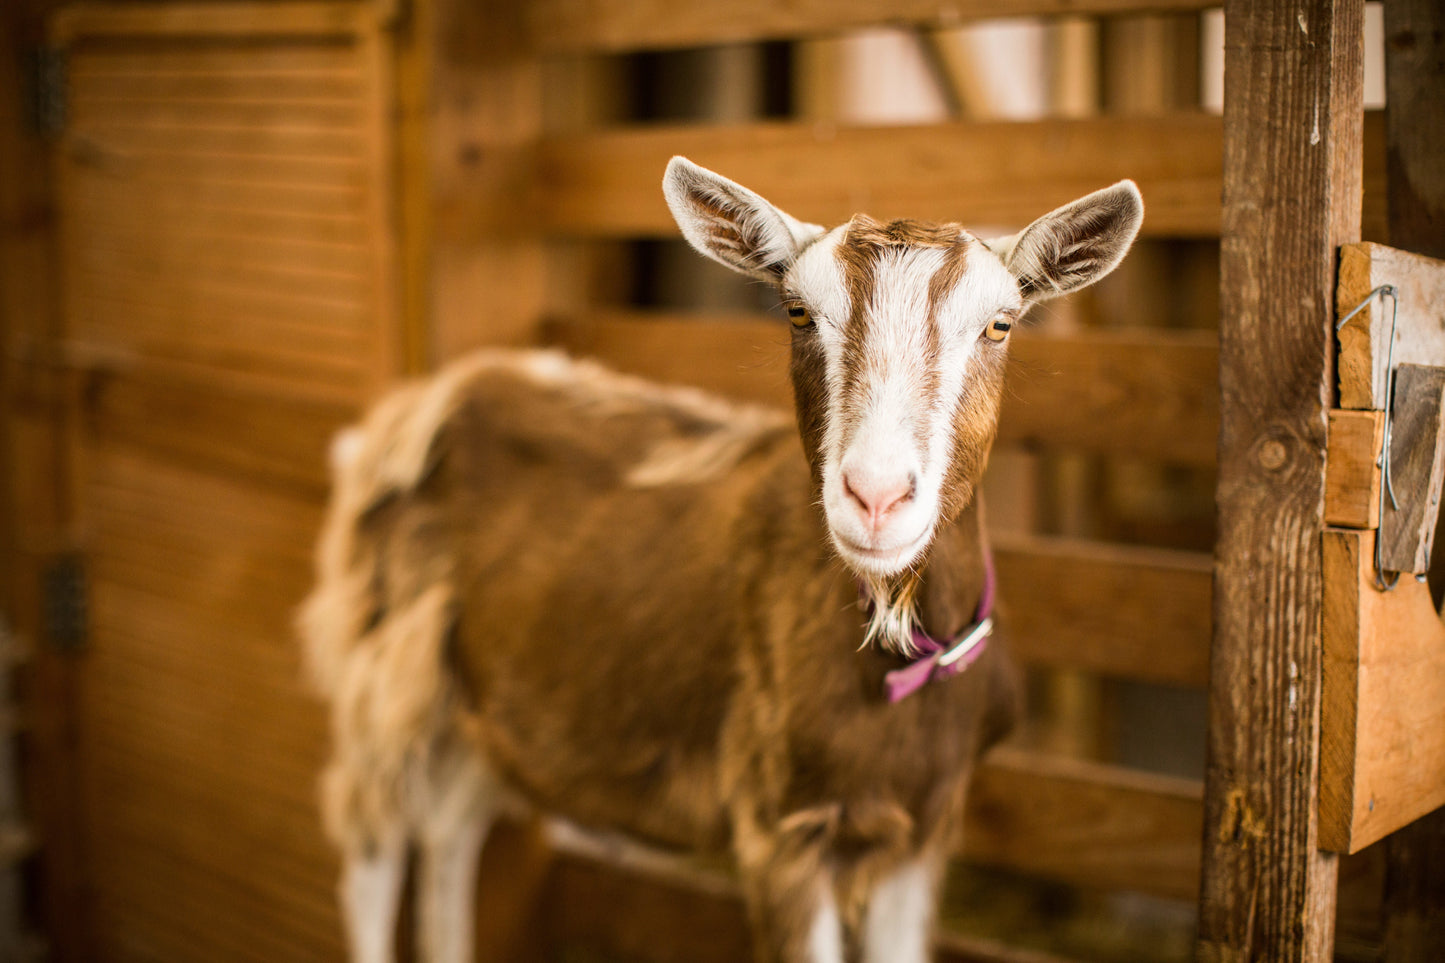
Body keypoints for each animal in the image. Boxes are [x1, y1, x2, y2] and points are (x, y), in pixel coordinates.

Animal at [300, 157, 1143, 963]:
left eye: (1000, 324)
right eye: (797, 312)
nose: (875, 495)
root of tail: (439, 390)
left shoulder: (922, 826)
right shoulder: (778, 828)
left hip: (479, 696)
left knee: (449, 827)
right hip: (382, 666)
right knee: (373, 852)